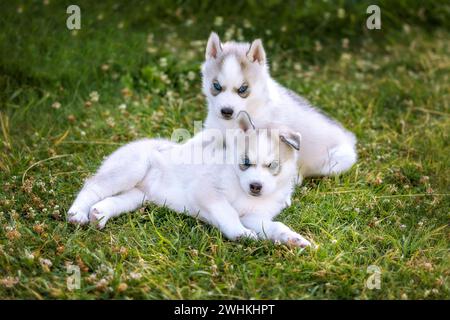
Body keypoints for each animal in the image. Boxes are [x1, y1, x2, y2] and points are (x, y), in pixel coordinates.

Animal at [67, 112, 312, 248]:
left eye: (273, 166)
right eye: (245, 162)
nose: (255, 186)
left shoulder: (254, 217)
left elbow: (275, 226)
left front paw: (293, 239)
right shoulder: (206, 191)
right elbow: (228, 212)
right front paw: (240, 233)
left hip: (138, 195)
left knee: (116, 200)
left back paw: (100, 214)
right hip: (130, 169)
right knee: (92, 187)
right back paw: (77, 214)